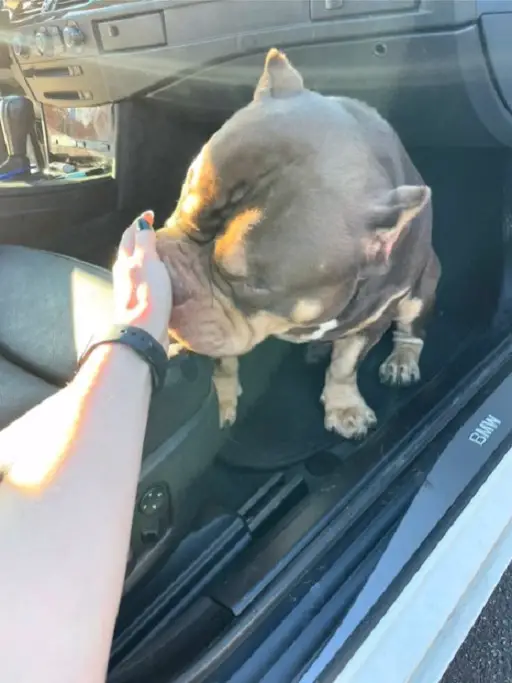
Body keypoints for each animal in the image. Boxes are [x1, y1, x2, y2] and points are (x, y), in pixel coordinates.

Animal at [156, 50, 440, 440]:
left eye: (250, 285)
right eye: (184, 205)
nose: (169, 279)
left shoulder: (375, 317)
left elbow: (346, 363)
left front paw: (344, 406)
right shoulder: (220, 327)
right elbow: (223, 356)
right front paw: (223, 397)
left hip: (423, 285)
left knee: (412, 329)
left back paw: (401, 360)